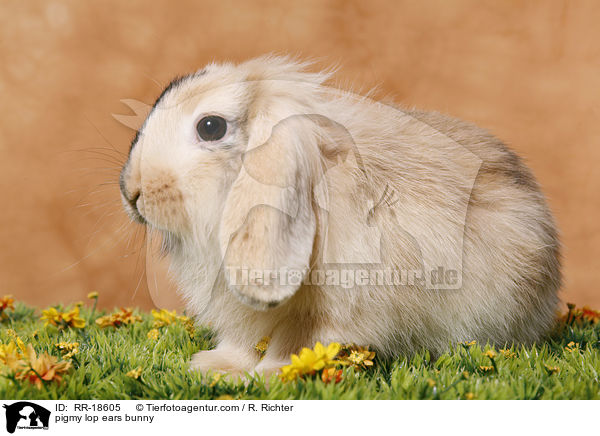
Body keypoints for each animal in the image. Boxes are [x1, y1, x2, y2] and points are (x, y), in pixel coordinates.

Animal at [119, 55, 560, 374]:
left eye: (210, 127)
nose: (132, 192)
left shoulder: (330, 308)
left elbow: (297, 343)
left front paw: (272, 374)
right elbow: (241, 343)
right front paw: (214, 368)